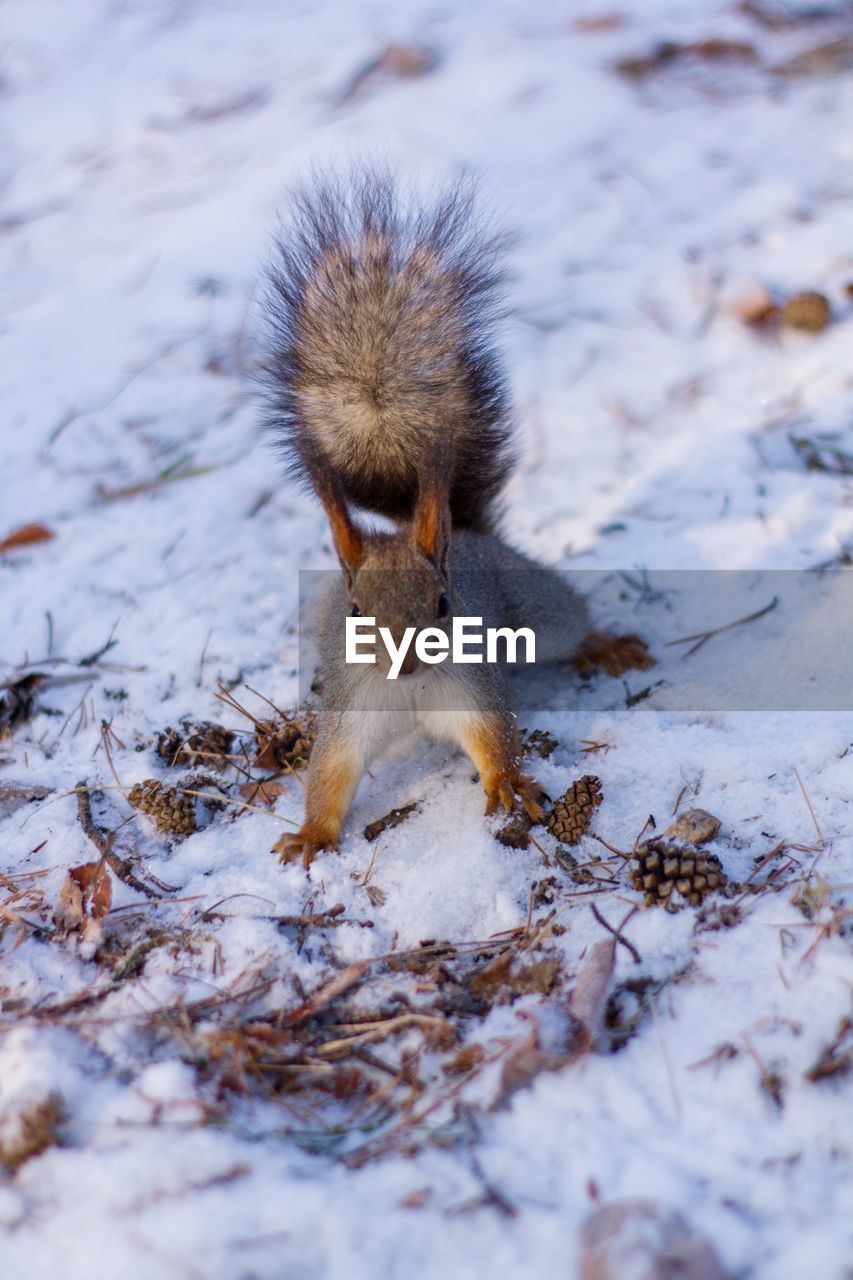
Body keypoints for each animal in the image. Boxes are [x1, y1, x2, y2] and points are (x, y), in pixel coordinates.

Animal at [258, 170, 650, 865]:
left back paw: (605, 644)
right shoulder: (351, 708)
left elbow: (492, 735)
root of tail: (466, 533)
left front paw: (507, 784)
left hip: (537, 611)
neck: (410, 692)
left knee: (568, 623)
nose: (406, 665)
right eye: (355, 613)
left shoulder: (472, 685)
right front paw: (312, 834)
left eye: (444, 605)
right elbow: (331, 771)